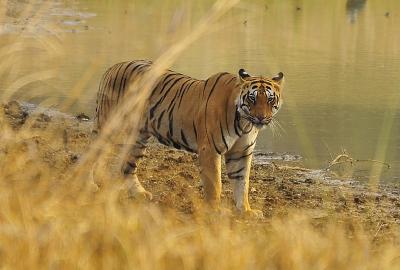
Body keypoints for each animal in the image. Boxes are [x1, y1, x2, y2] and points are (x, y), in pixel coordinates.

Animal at [96, 60, 284, 216]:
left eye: (270, 99)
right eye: (252, 98)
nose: (261, 118)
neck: (245, 123)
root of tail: (113, 67)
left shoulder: (241, 153)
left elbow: (242, 183)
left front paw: (246, 210)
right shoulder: (210, 149)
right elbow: (215, 183)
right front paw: (215, 210)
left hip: (137, 138)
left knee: (127, 167)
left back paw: (139, 194)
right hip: (110, 127)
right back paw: (92, 185)